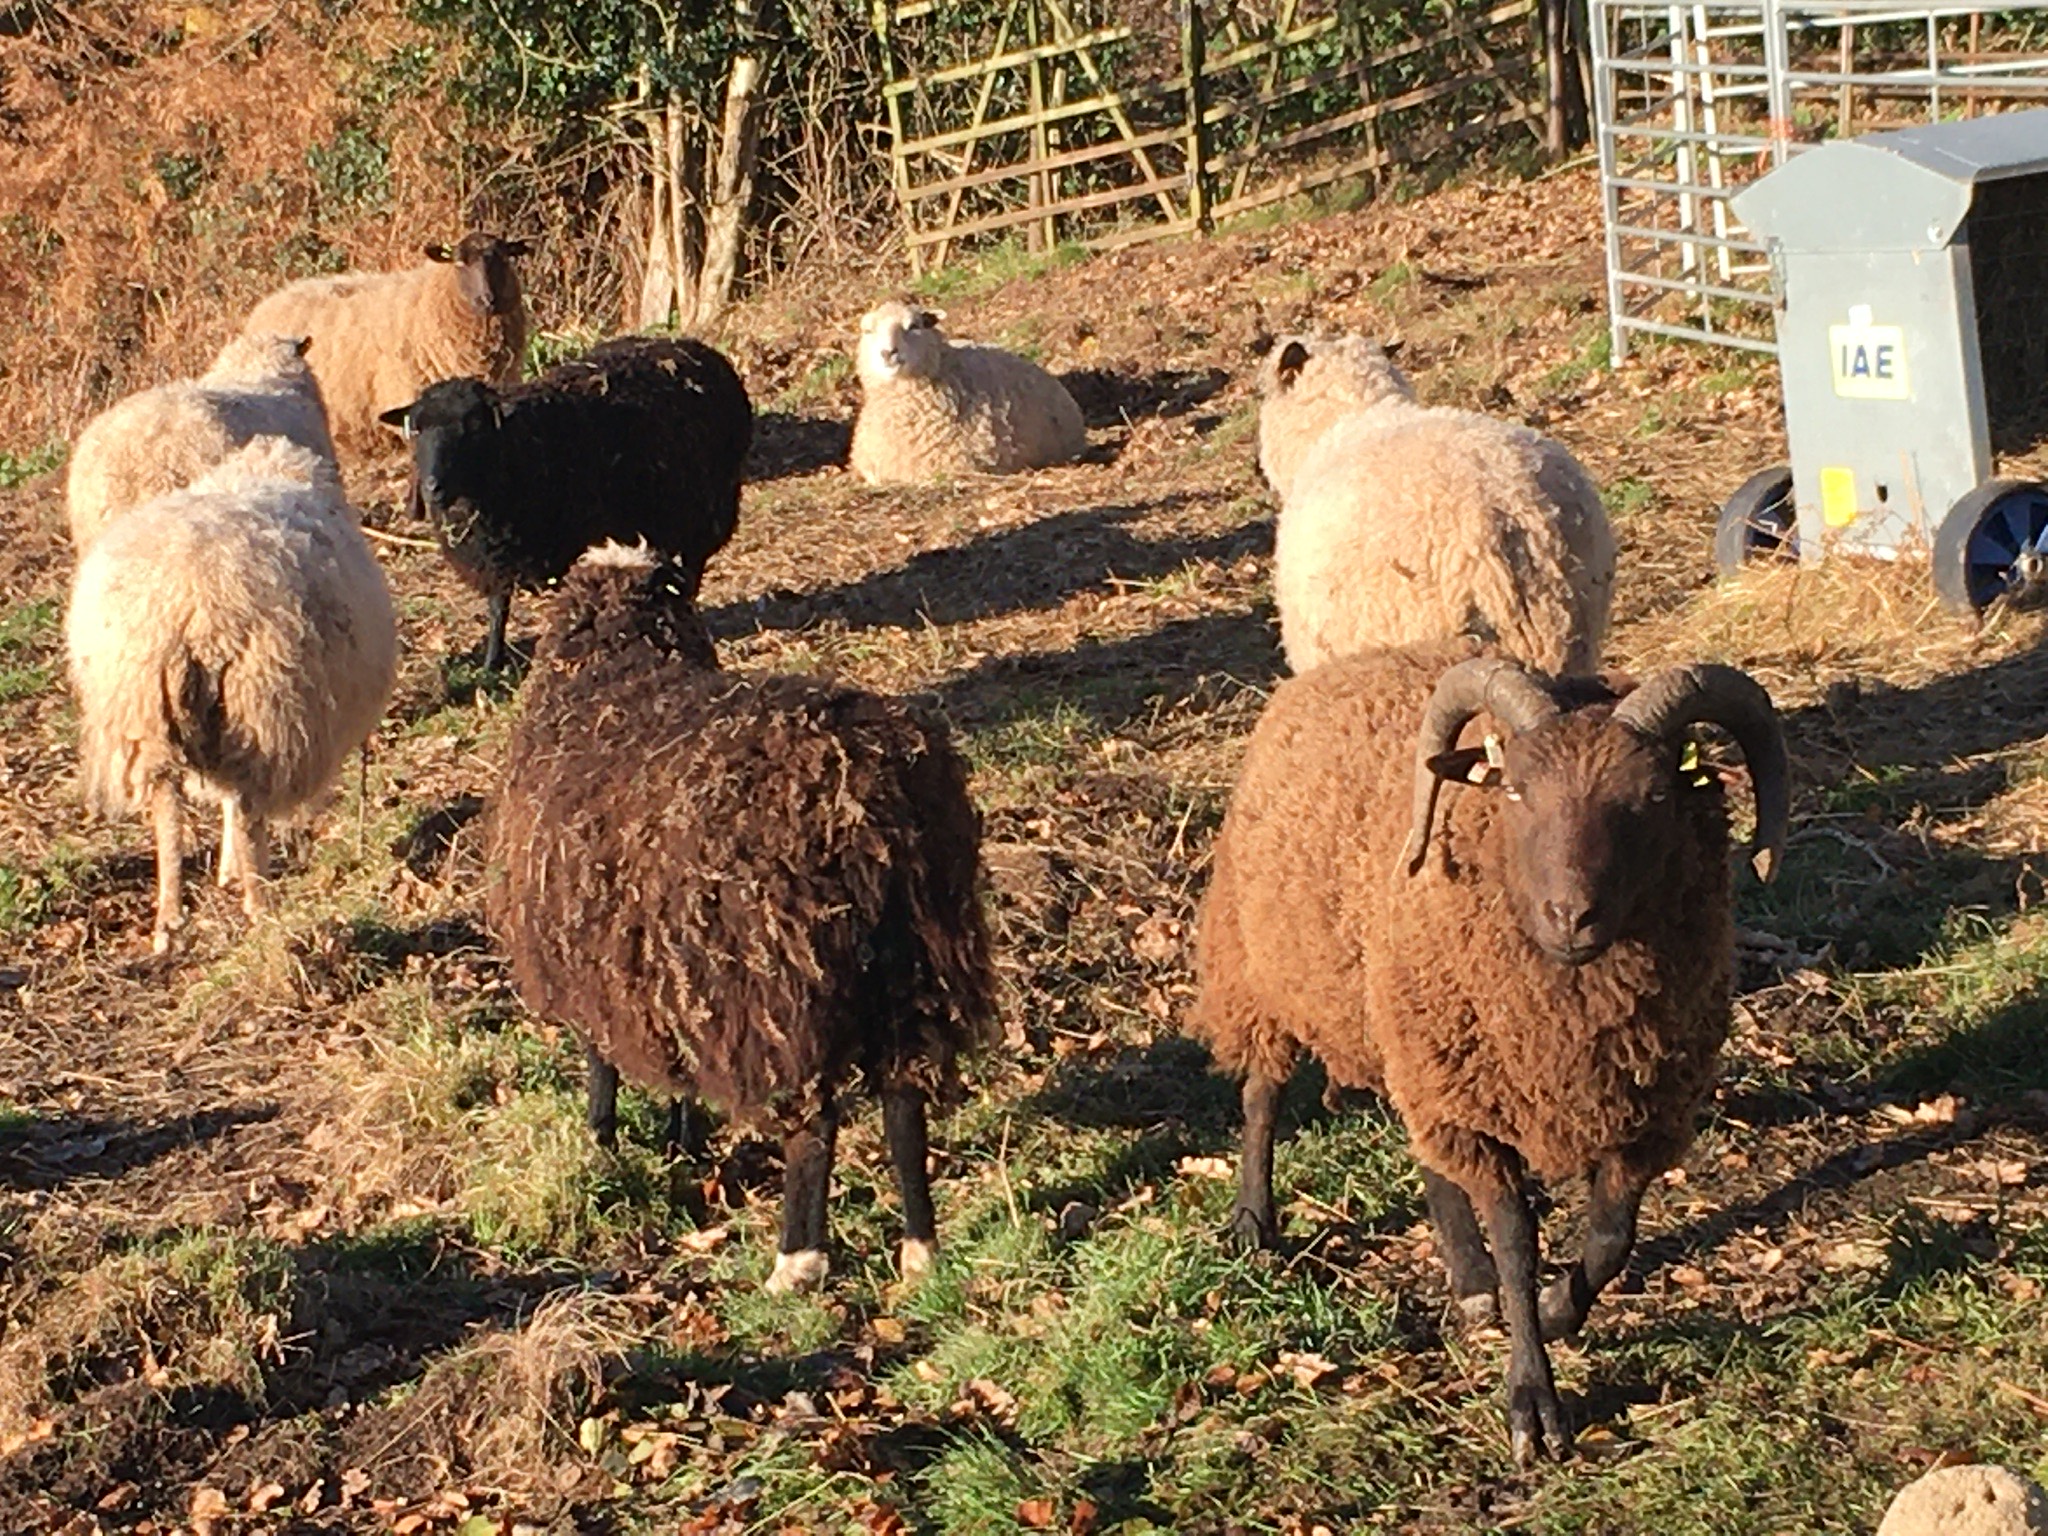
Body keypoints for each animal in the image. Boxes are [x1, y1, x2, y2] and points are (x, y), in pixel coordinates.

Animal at [65, 436, 398, 954]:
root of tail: (185, 610)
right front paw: (236, 873)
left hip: (144, 711)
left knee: (168, 809)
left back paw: (169, 917)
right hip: (261, 702)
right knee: (246, 808)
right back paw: (258, 902)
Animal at [378, 334, 752, 671]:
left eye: (473, 426)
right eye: (416, 429)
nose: (432, 488)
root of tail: (693, 346)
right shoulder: (496, 561)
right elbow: (499, 608)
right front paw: (492, 664)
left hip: (709, 511)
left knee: (692, 570)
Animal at [484, 542, 997, 1293]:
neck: (617, 667)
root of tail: (871, 795)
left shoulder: (587, 961)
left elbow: (600, 1058)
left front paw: (601, 1139)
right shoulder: (661, 972)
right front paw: (680, 1137)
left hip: (778, 986)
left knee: (815, 1127)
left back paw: (797, 1261)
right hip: (917, 956)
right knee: (905, 1103)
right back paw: (920, 1250)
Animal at [1188, 640, 1788, 1463]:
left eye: (1654, 797)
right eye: (1515, 791)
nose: (1570, 915)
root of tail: (1350, 661)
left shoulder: (1644, 1106)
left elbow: (1611, 1238)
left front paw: (1560, 1307)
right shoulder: (1479, 1092)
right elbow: (1517, 1240)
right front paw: (1533, 1403)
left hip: (1412, 1038)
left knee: (1431, 1157)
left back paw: (1468, 1280)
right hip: (1264, 968)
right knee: (1260, 1093)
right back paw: (1254, 1218)